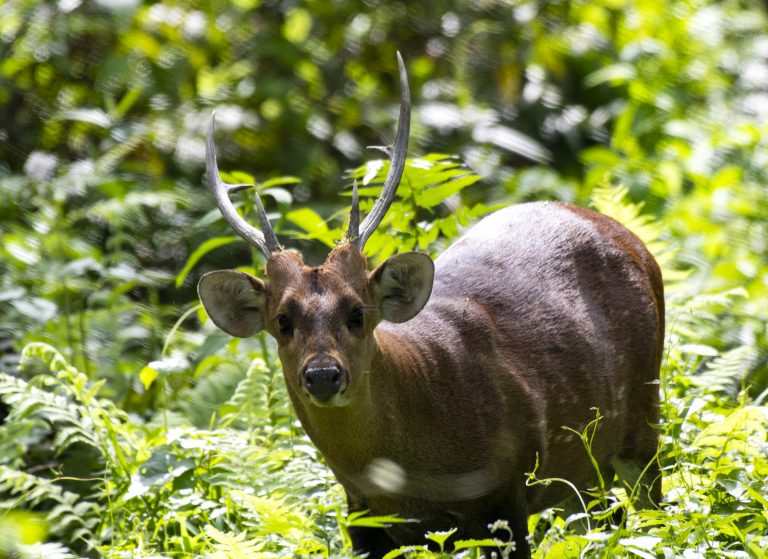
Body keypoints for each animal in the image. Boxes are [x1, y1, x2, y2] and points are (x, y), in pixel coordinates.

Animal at [197, 53, 664, 558]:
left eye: (357, 312)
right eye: (283, 320)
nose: (322, 374)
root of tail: (635, 241)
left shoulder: (507, 489)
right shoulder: (361, 514)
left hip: (644, 413)